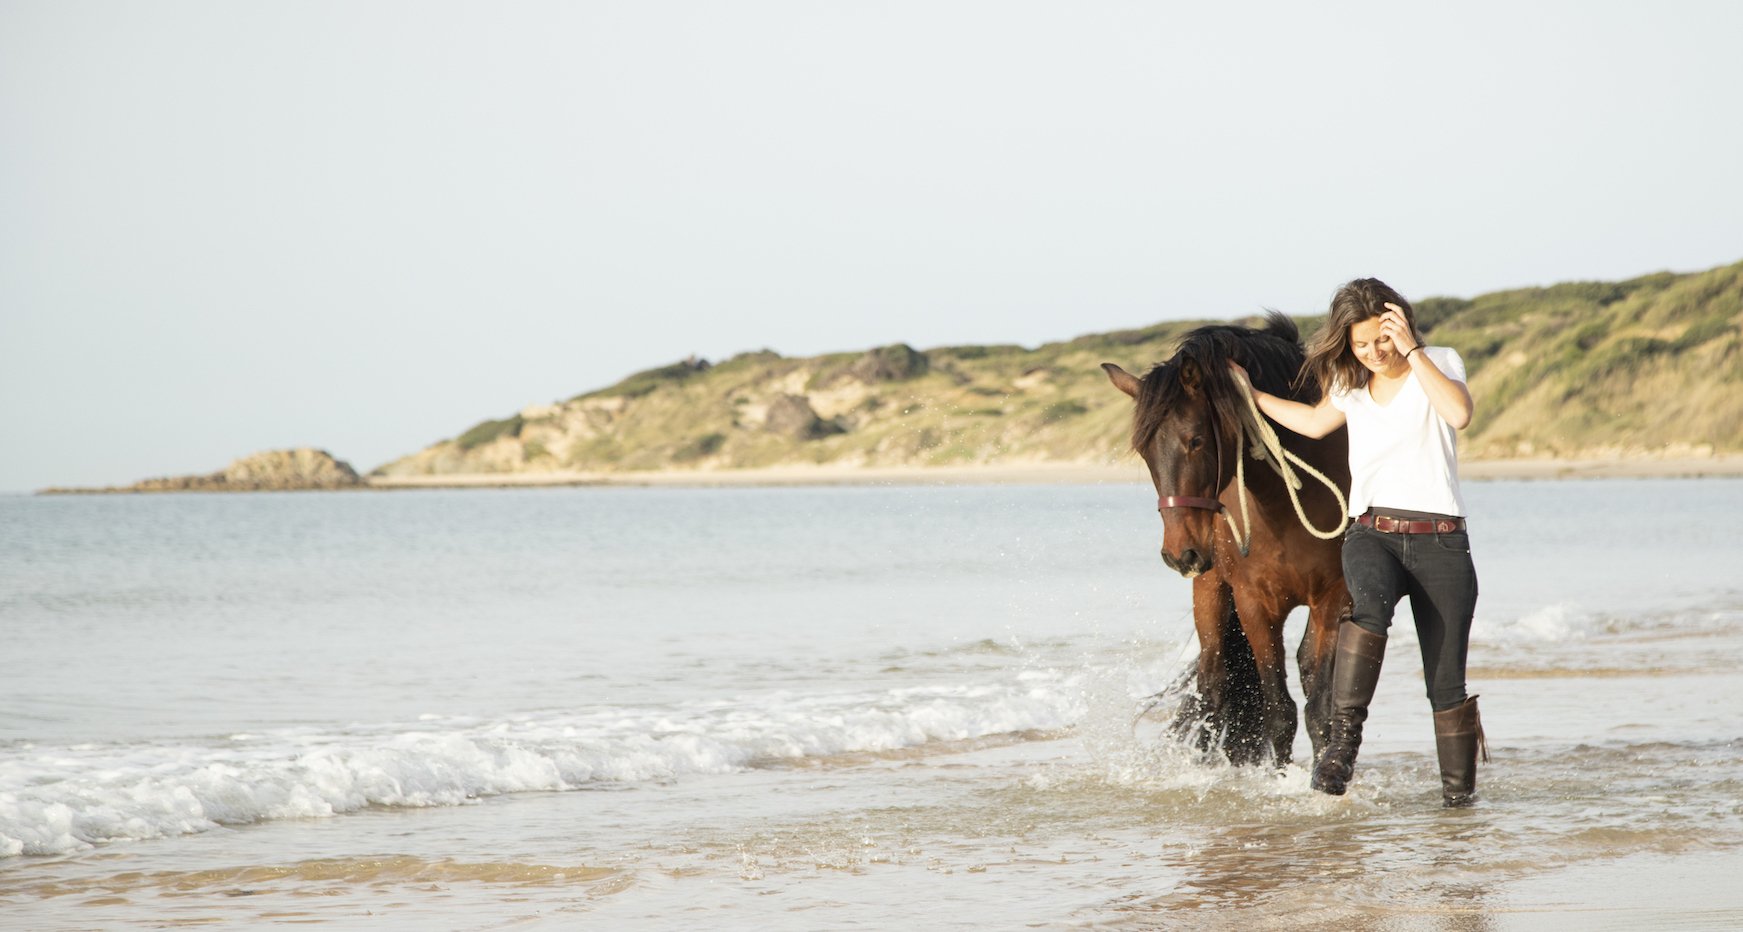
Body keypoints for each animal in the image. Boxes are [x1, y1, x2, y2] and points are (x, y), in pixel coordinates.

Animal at [1094, 313, 1352, 766]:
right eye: (1144, 451)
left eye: (1195, 440)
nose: (1179, 554)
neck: (1287, 503)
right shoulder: (1253, 603)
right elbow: (1279, 711)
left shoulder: (1332, 596)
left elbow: (1318, 706)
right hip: (1209, 590)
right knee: (1213, 687)